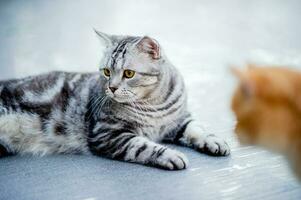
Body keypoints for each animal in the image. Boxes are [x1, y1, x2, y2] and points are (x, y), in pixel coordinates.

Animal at [0, 31, 230, 170]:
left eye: (129, 73)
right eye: (106, 71)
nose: (111, 87)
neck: (153, 104)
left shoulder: (179, 120)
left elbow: (197, 128)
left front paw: (213, 140)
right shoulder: (107, 133)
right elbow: (143, 146)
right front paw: (170, 155)